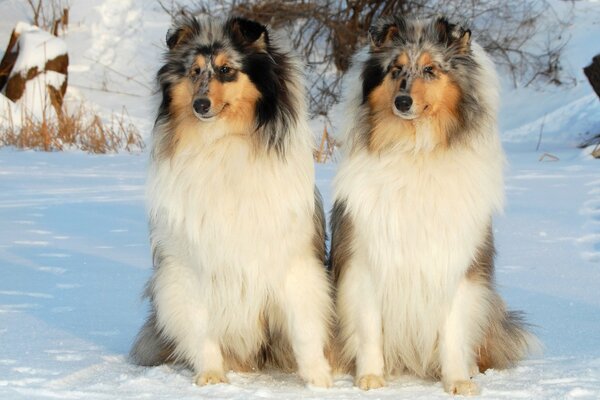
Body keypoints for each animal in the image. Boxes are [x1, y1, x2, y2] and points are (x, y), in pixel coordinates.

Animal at [131, 15, 332, 388]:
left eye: (227, 70)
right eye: (194, 71)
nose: (200, 105)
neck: (220, 142)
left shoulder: (293, 261)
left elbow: (304, 327)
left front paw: (319, 380)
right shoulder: (188, 267)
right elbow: (200, 328)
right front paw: (211, 376)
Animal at [330, 16, 536, 396]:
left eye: (430, 69)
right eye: (396, 69)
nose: (402, 101)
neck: (416, 151)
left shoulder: (456, 263)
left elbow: (453, 330)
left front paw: (457, 381)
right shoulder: (364, 260)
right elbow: (368, 328)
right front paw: (370, 377)